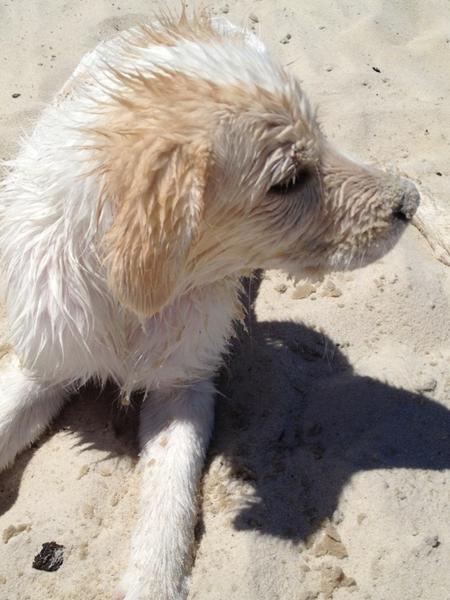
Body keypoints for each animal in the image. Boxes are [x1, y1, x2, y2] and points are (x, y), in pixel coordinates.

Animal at [0, 12, 418, 600]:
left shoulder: (184, 385)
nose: (412, 201)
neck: (133, 299)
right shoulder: (45, 359)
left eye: (321, 143)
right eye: (288, 181)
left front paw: (151, 583)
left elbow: (168, 505)